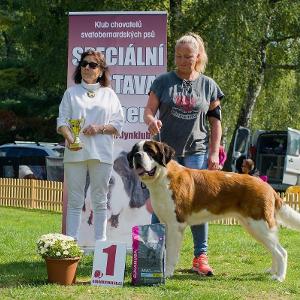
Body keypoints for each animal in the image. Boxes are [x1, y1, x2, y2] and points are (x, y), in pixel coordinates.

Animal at [127, 140, 300, 282]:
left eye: (150, 151)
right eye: (136, 150)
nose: (137, 155)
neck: (162, 177)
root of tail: (268, 187)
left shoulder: (176, 226)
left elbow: (171, 253)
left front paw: (167, 273)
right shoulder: (166, 224)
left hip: (260, 225)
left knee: (281, 252)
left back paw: (279, 277)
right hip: (255, 227)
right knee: (274, 249)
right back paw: (272, 271)